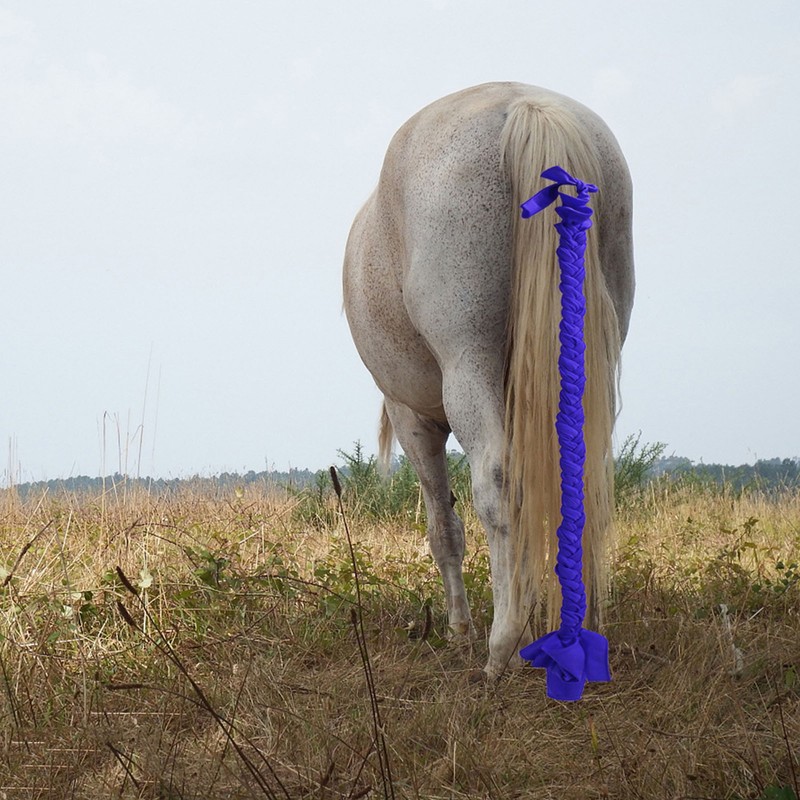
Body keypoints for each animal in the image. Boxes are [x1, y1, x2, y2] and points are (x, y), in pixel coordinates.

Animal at [343, 82, 634, 678]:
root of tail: (524, 106)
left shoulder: (412, 419)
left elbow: (444, 527)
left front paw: (460, 628)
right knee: (587, 478)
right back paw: (583, 623)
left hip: (466, 363)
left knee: (497, 484)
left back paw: (501, 646)